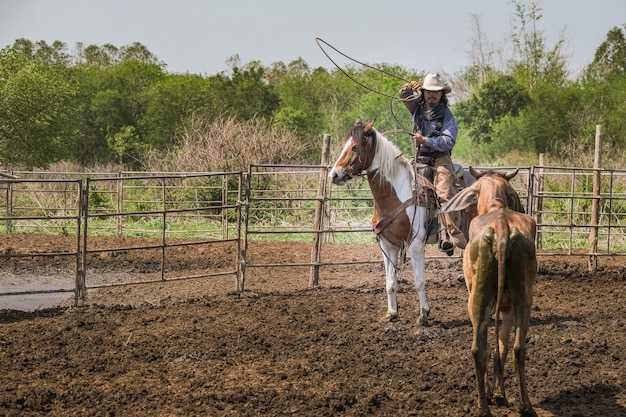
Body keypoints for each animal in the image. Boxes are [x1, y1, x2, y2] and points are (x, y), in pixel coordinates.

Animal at [326, 117, 472, 324]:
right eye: (343, 146)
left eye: (355, 147)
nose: (334, 175)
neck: (397, 196)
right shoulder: (388, 244)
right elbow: (390, 282)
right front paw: (391, 313)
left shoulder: (415, 243)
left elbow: (419, 281)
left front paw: (424, 314)